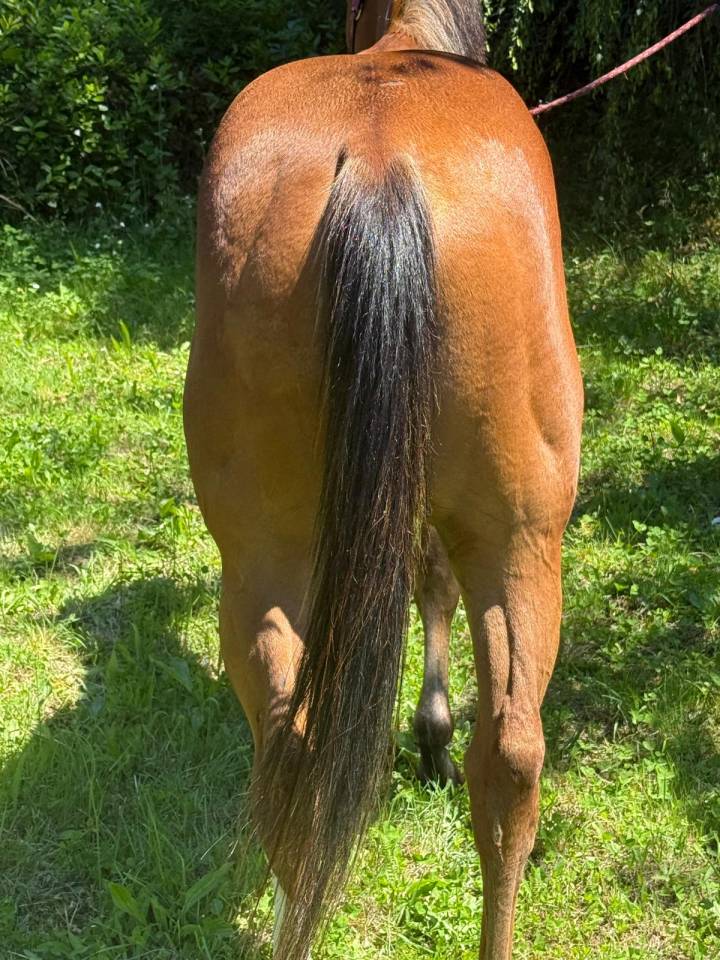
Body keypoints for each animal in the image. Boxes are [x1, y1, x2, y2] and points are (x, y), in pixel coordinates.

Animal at [183, 1, 583, 957]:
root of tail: (376, 165)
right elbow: (429, 582)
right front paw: (430, 733)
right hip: (523, 540)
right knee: (509, 760)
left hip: (264, 557)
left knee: (298, 746)